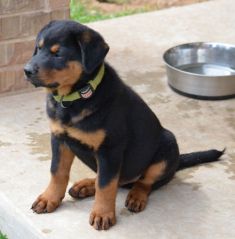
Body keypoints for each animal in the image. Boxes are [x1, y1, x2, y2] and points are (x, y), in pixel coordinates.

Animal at [24, 20, 224, 230]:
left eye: (58, 54)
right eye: (38, 48)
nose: (26, 70)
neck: (73, 98)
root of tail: (178, 162)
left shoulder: (110, 149)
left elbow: (105, 185)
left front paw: (102, 214)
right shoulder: (59, 138)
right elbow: (58, 172)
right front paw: (49, 199)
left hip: (167, 147)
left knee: (143, 182)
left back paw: (136, 196)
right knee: (115, 179)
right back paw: (86, 185)